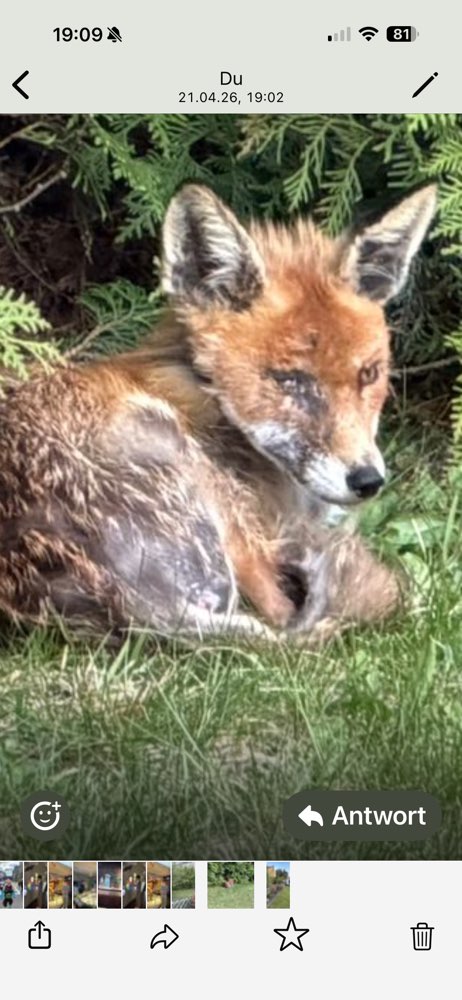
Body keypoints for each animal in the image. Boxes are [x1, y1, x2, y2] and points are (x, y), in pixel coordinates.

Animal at [0, 183, 437, 641]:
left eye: (368, 374)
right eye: (290, 380)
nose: (367, 480)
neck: (205, 393)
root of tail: (133, 606)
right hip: (195, 476)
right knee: (284, 618)